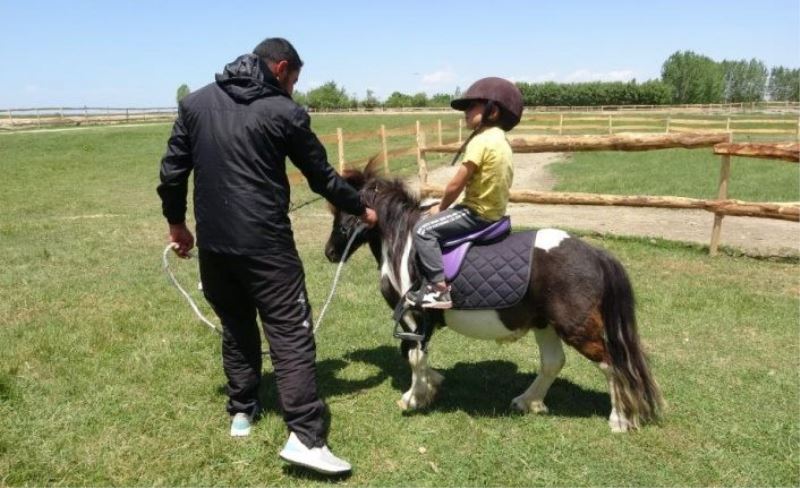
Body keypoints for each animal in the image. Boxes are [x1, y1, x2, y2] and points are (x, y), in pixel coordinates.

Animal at [324, 163, 664, 430]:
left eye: (342, 207)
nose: (329, 252)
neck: (404, 243)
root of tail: (595, 254)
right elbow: (416, 354)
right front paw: (433, 383)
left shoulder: (413, 316)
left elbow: (413, 355)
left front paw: (414, 397)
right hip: (545, 324)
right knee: (553, 363)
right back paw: (528, 401)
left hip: (575, 328)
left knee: (611, 364)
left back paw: (620, 419)